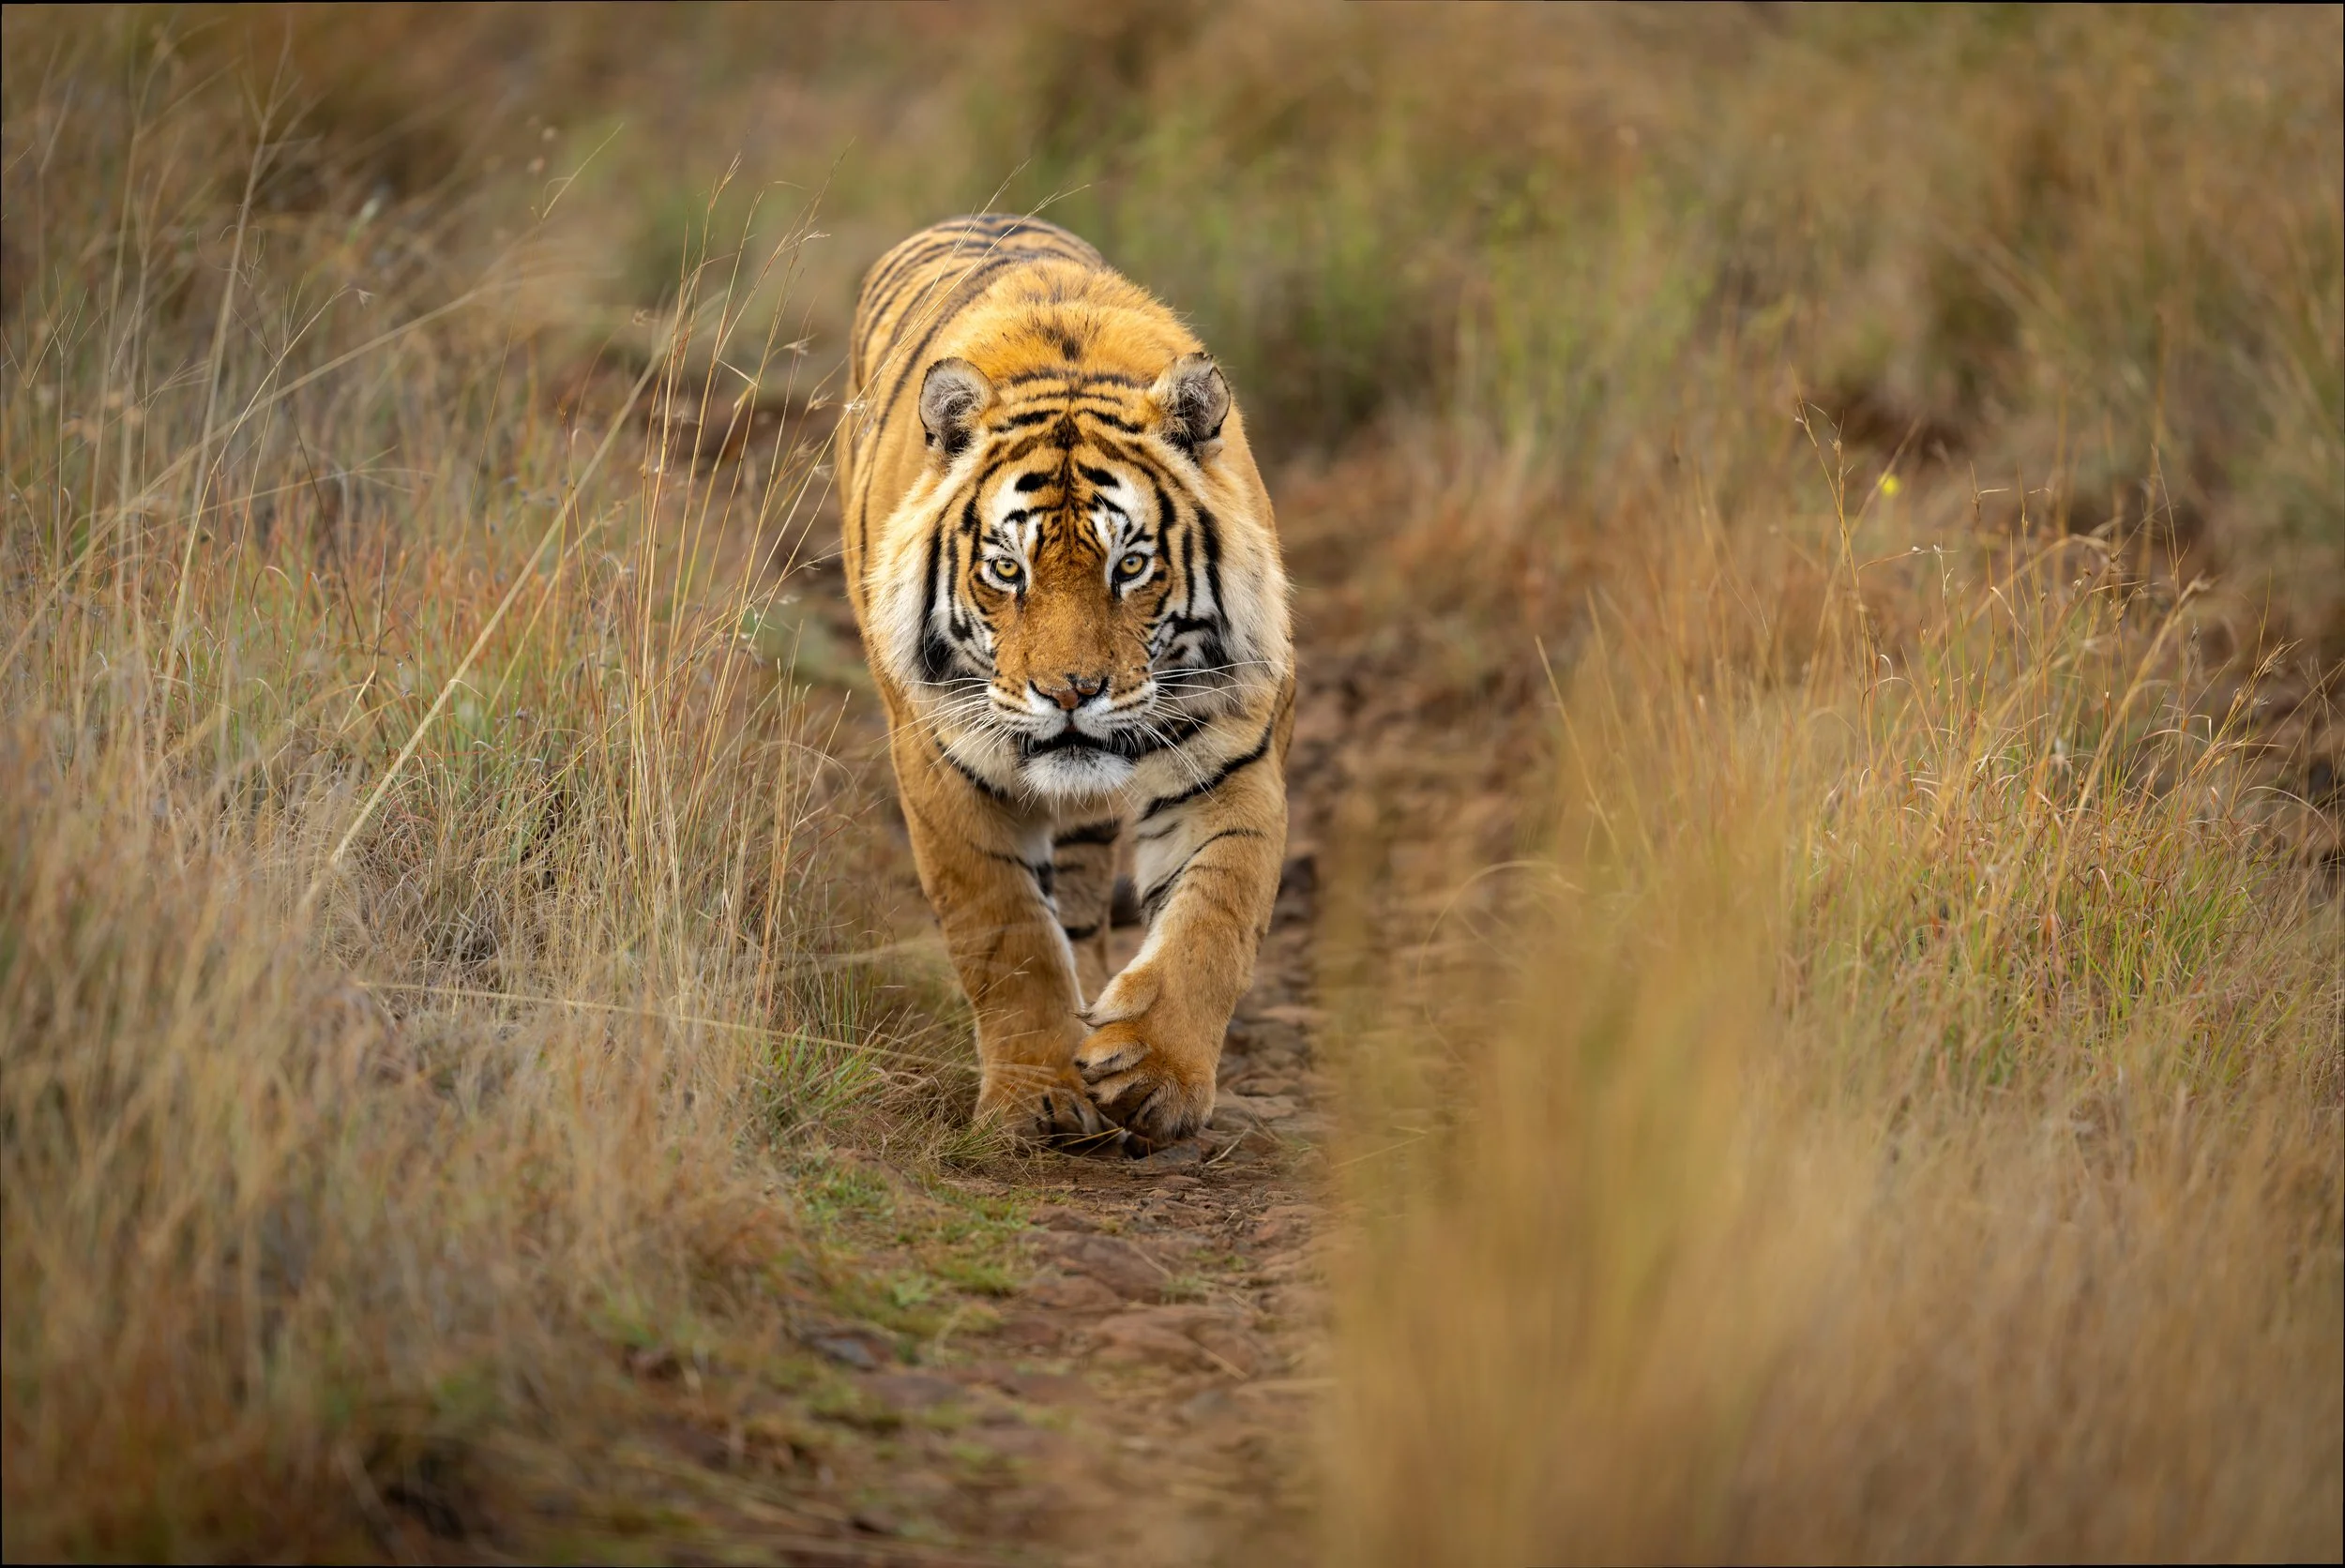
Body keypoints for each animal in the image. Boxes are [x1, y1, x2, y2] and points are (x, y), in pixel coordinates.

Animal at [836, 213, 1294, 1150]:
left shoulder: (1232, 760)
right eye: (1007, 570)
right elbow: (1006, 933)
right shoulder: (943, 769)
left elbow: (1214, 920)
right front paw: (1036, 1096)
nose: (1072, 694)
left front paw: (1153, 1073)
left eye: (1132, 566)